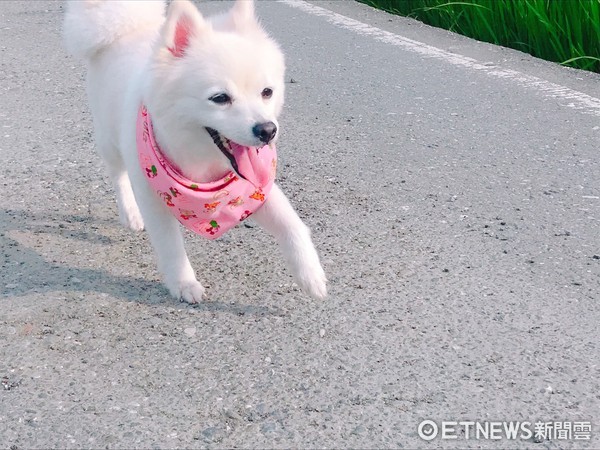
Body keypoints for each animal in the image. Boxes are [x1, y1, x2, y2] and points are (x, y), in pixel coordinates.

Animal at [62, 0, 326, 302]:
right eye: (220, 98)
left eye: (267, 92)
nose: (267, 130)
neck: (203, 163)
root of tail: (126, 28)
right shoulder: (153, 196)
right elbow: (171, 246)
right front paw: (184, 283)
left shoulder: (253, 191)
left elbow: (293, 224)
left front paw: (310, 274)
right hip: (110, 139)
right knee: (117, 174)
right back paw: (129, 212)